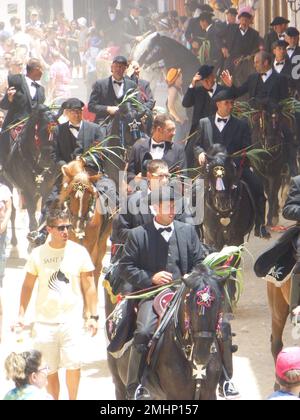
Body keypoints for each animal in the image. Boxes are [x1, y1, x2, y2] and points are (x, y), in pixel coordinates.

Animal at [106, 266, 227, 400]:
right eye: (188, 303)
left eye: (220, 303)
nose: (202, 355)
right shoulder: (175, 395)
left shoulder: (209, 394)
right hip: (119, 384)